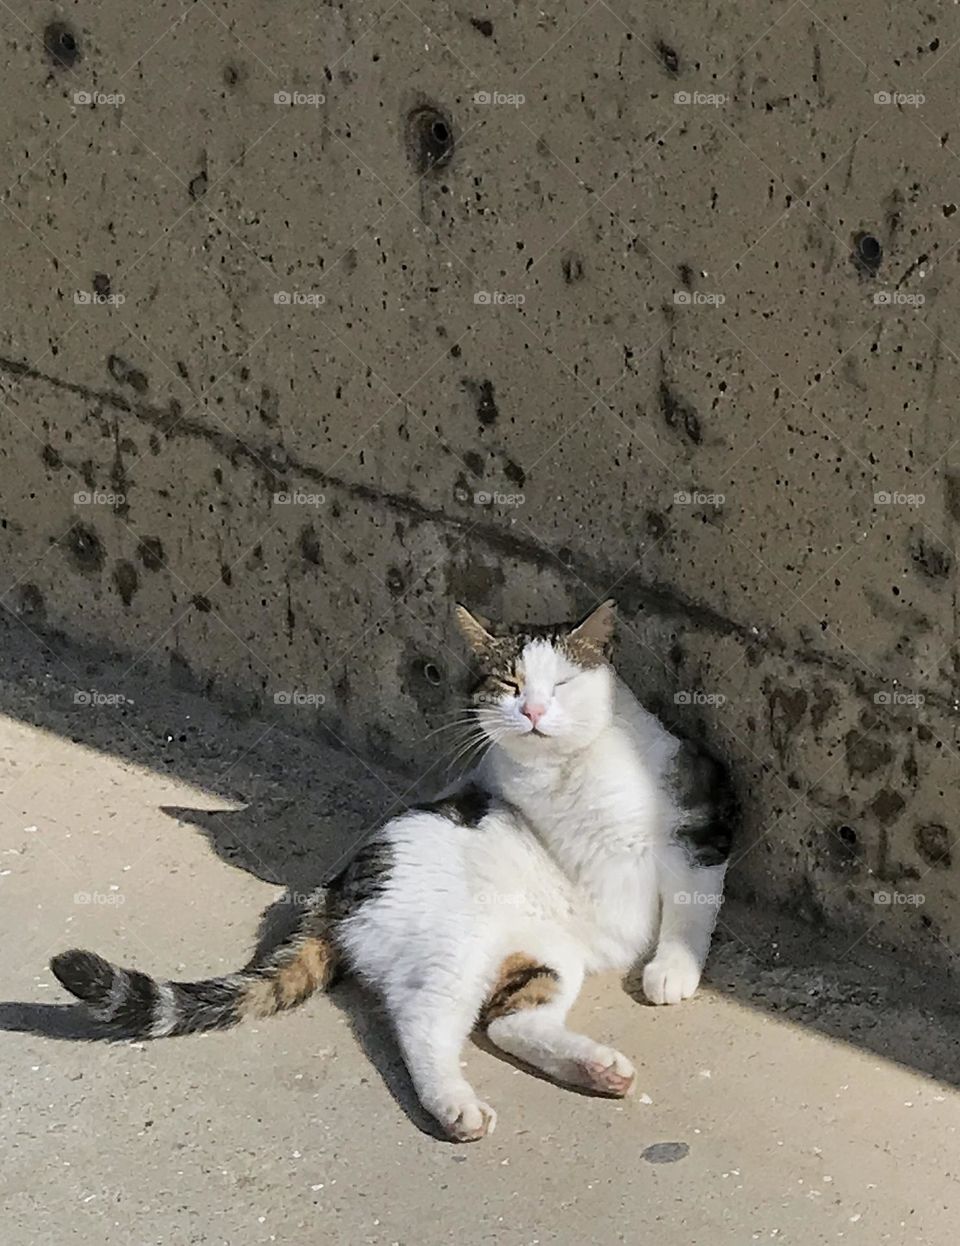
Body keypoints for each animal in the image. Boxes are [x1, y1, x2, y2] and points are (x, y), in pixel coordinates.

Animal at [50, 600, 733, 1141]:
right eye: (508, 683)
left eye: (562, 683)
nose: (534, 713)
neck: (568, 768)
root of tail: (336, 887)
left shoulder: (698, 826)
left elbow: (690, 907)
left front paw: (670, 969)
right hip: (457, 945)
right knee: (426, 1021)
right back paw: (456, 1106)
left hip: (544, 953)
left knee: (510, 1023)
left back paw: (595, 1069)